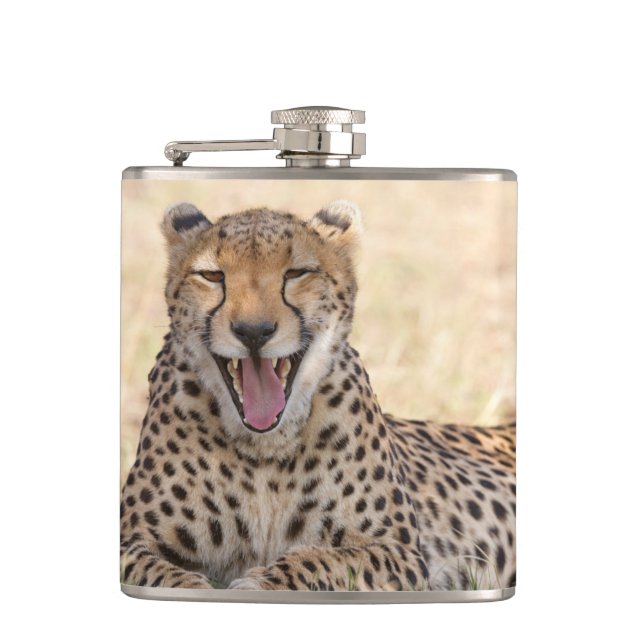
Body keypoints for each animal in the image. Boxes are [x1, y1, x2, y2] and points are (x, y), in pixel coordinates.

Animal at [120, 200, 516, 592]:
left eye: (297, 273)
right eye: (212, 276)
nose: (253, 331)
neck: (264, 450)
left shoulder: (397, 552)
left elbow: (321, 562)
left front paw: (257, 586)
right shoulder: (131, 543)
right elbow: (164, 576)